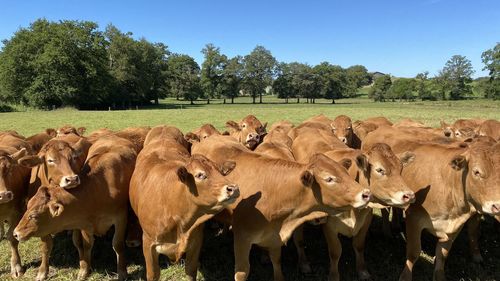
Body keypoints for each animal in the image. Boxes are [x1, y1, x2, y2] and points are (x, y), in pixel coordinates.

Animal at [14, 135, 136, 278]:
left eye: (33, 215)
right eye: (50, 160)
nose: (15, 233)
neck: (98, 189)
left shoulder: (121, 217)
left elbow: (118, 245)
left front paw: (122, 272)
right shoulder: (85, 223)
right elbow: (86, 244)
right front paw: (84, 270)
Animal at [128, 126, 239, 280]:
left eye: (222, 172)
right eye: (200, 175)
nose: (233, 188)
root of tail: (164, 126)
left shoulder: (196, 241)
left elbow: (191, 270)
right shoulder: (148, 243)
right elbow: (153, 274)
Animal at [191, 135, 372, 280]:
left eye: (346, 173)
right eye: (329, 179)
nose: (366, 194)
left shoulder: (274, 236)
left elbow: (276, 261)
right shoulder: (242, 237)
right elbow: (242, 272)